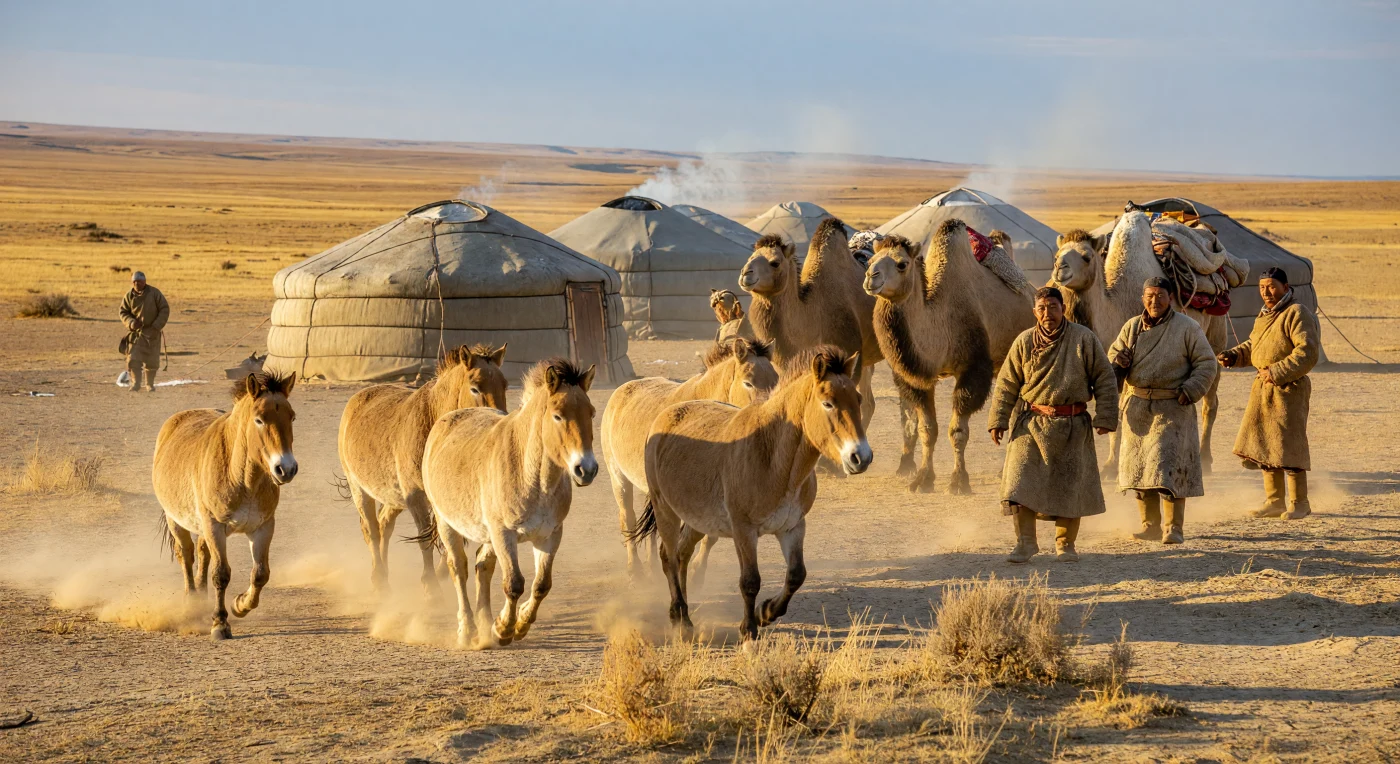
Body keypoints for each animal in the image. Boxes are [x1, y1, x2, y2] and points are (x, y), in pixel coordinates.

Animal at [152, 372, 298, 640]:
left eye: (291, 416)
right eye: (259, 419)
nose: (286, 469)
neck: (242, 478)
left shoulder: (263, 527)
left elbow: (261, 573)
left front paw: (240, 605)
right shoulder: (215, 526)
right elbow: (221, 574)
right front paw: (220, 623)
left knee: (202, 553)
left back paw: (201, 600)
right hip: (176, 521)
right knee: (186, 555)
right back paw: (191, 603)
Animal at [337, 344, 507, 595]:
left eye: (505, 385)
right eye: (475, 388)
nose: (500, 421)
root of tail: (357, 398)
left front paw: (442, 572)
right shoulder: (416, 497)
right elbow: (424, 539)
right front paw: (431, 587)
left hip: (393, 497)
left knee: (384, 525)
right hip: (359, 488)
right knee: (372, 530)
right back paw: (379, 580)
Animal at [421, 358, 598, 648]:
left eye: (591, 413)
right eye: (558, 415)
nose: (587, 469)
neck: (532, 477)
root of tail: (447, 420)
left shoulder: (549, 535)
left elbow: (541, 584)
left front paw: (519, 623)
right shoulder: (504, 534)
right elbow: (514, 583)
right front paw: (504, 629)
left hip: (487, 535)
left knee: (483, 567)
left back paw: (484, 625)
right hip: (448, 524)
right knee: (459, 568)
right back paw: (468, 630)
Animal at [601, 337, 777, 578]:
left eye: (776, 381)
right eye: (748, 383)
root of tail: (621, 391)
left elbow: (709, 536)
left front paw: (696, 573)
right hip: (619, 479)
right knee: (627, 518)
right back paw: (635, 570)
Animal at [633, 346, 872, 640]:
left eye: (858, 399)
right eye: (828, 403)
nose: (861, 457)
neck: (773, 458)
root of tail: (667, 413)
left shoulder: (792, 527)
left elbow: (796, 575)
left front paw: (766, 612)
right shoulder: (744, 531)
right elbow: (750, 581)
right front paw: (749, 630)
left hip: (696, 520)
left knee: (681, 555)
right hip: (665, 509)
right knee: (668, 559)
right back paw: (682, 619)